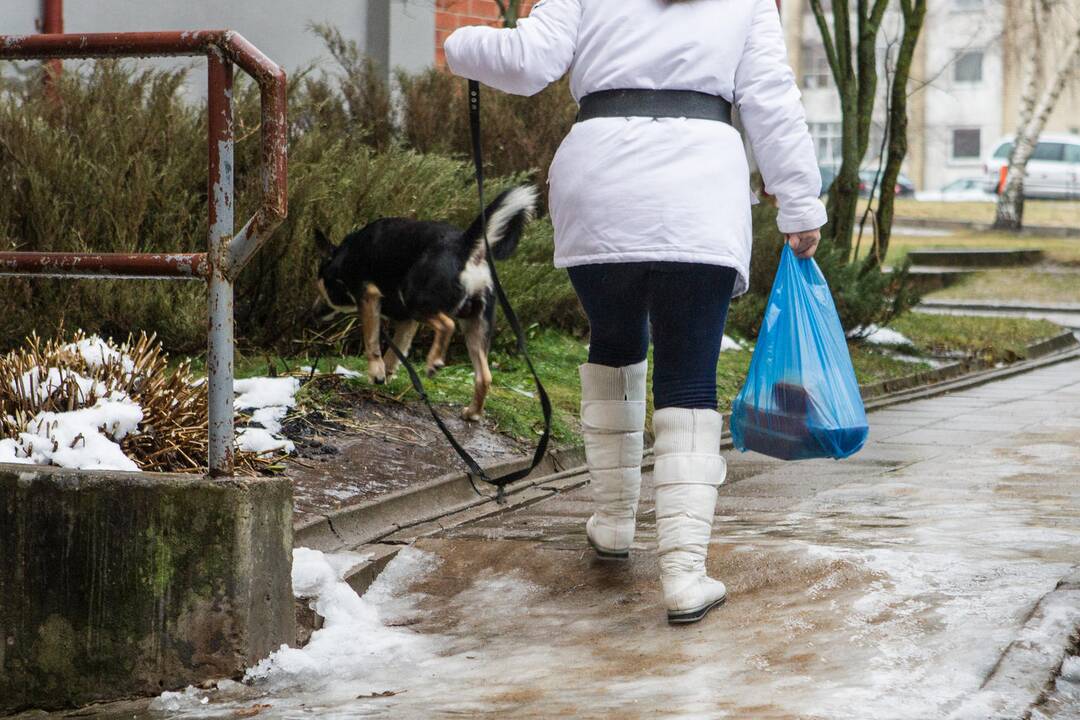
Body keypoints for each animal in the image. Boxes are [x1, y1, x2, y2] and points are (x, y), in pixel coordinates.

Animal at [315, 185, 537, 423]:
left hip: (417, 301)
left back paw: (434, 362)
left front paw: (376, 372)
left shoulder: (369, 297)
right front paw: (386, 376)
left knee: (447, 325)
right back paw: (473, 412)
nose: (312, 313)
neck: (344, 256)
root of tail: (464, 245)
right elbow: (395, 353)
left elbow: (372, 341)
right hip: (474, 324)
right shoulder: (406, 320)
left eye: (321, 289)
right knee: (484, 376)